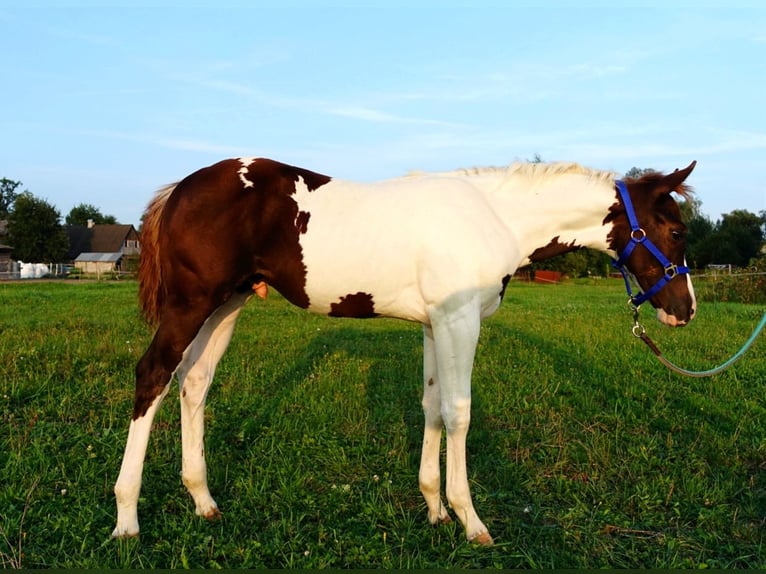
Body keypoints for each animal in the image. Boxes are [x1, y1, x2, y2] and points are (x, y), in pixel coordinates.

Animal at [112, 156, 696, 544]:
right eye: (675, 229)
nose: (684, 309)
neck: (494, 215)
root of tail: (181, 187)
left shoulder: (436, 325)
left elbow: (432, 407)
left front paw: (435, 507)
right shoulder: (459, 322)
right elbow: (459, 414)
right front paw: (470, 520)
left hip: (226, 305)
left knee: (193, 383)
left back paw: (203, 501)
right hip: (191, 304)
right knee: (153, 376)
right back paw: (126, 519)